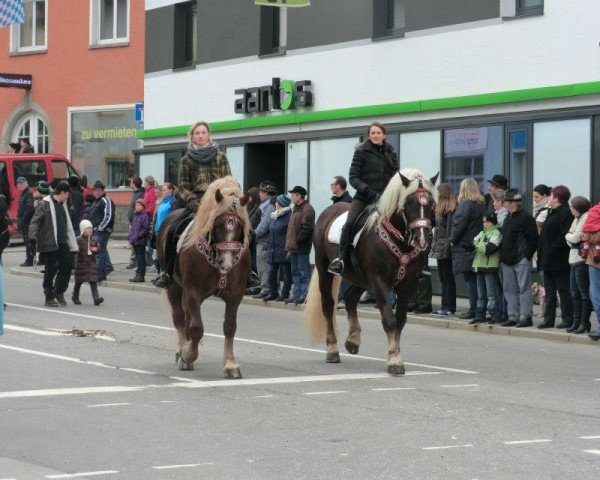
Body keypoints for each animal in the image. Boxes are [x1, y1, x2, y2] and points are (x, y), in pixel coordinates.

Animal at [157, 176, 251, 378]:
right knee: (179, 318)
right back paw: (182, 350)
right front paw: (187, 355)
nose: (227, 262)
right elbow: (196, 328)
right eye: (217, 225)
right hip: (174, 287)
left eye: (240, 226)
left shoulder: (235, 294)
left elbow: (230, 327)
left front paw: (230, 364)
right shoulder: (193, 292)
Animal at [304, 169, 436, 376]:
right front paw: (394, 360)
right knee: (328, 306)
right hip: (325, 269)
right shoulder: (379, 281)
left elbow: (400, 320)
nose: (421, 238)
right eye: (409, 202)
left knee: (350, 299)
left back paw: (353, 340)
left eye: (431, 204)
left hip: (361, 279)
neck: (398, 240)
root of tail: (330, 210)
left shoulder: (408, 283)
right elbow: (389, 319)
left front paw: (396, 355)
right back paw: (332, 350)